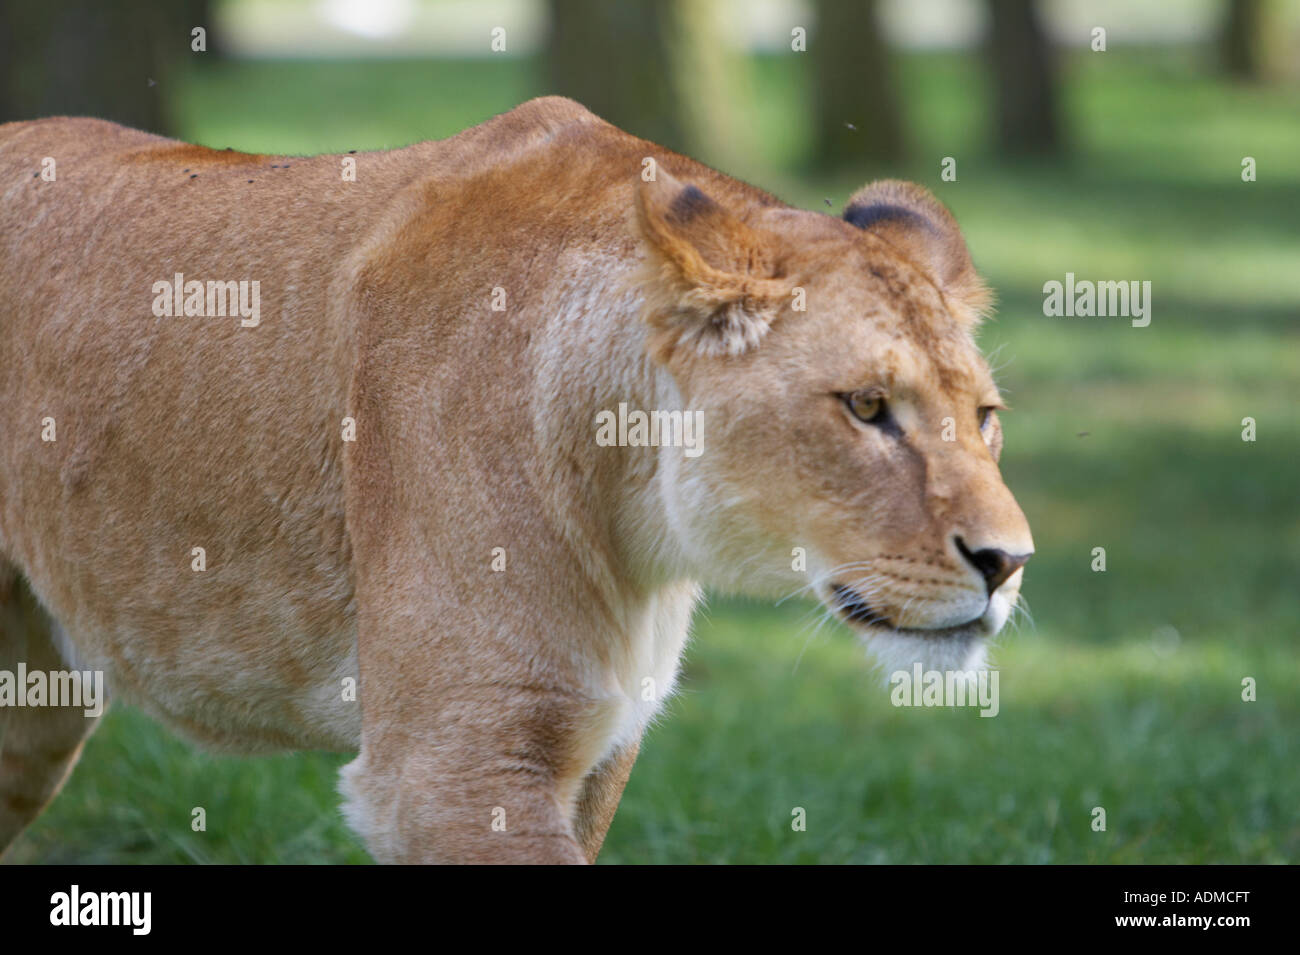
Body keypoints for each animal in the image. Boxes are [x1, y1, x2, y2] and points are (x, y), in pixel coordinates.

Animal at [0, 96, 1032, 863]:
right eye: (867, 406)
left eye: (985, 416)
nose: (1009, 562)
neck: (637, 520)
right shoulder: (449, 767)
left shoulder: (589, 751)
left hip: (35, 707)